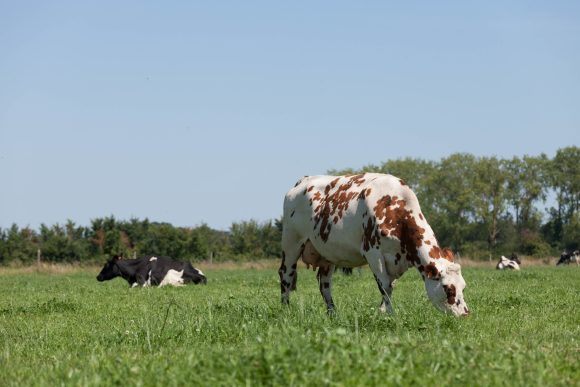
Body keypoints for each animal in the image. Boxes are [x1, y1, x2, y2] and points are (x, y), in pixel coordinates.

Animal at [280, 174, 472, 318]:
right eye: (449, 289)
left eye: (463, 286)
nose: (465, 314)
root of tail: (303, 180)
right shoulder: (373, 252)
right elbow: (385, 285)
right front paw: (388, 314)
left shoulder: (396, 259)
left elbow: (390, 286)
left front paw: (383, 311)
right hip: (291, 242)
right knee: (286, 274)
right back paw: (285, 310)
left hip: (327, 253)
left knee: (324, 284)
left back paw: (333, 313)